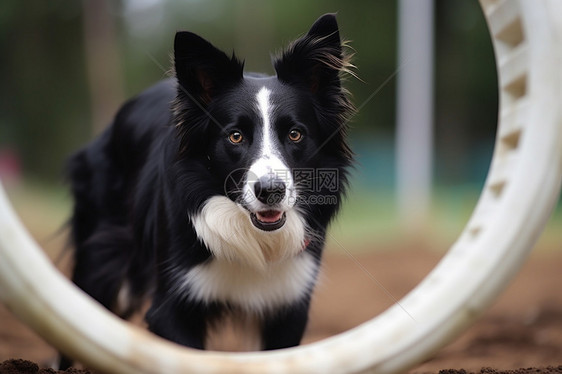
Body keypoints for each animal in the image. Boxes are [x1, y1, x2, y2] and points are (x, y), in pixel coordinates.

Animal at [65, 12, 352, 356]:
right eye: (235, 136)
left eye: (295, 134)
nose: (270, 191)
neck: (251, 238)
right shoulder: (172, 306)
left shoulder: (288, 306)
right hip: (102, 263)